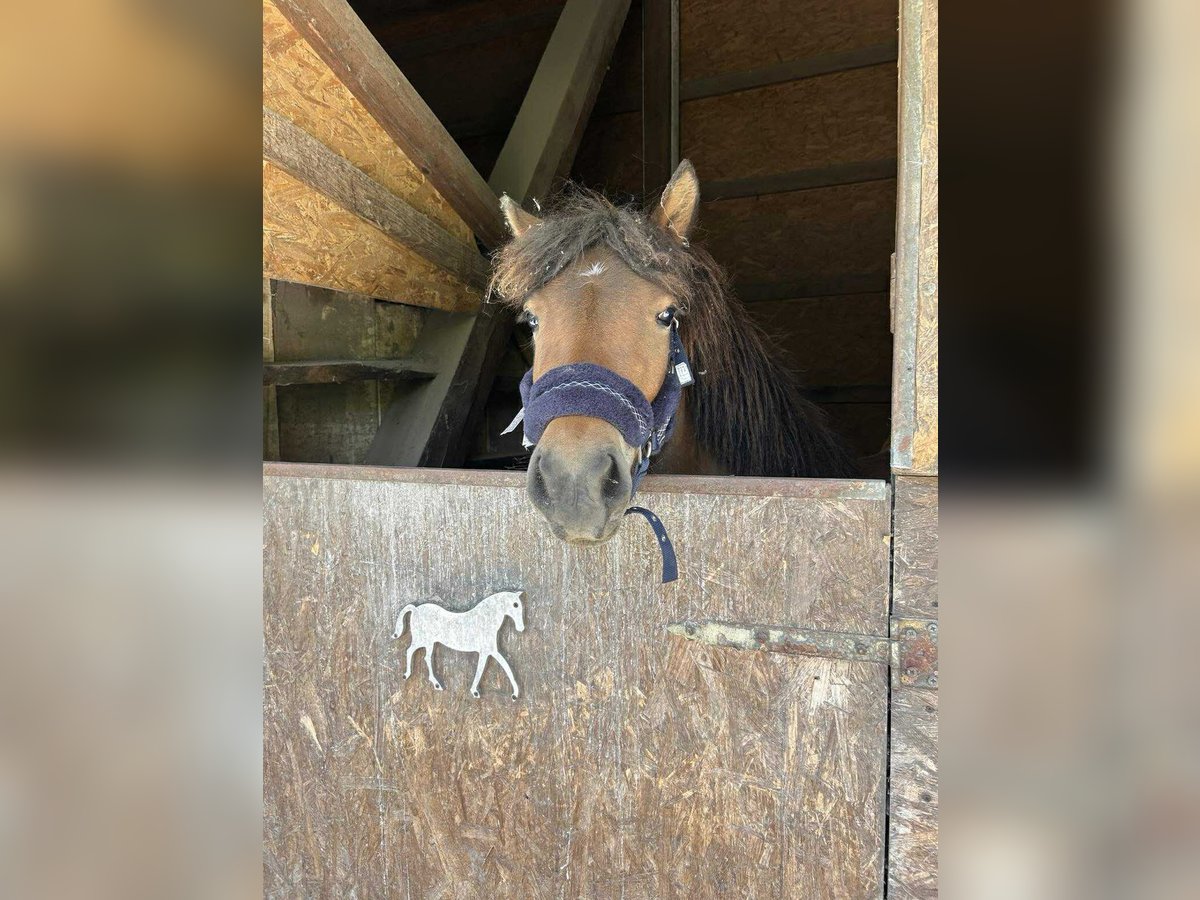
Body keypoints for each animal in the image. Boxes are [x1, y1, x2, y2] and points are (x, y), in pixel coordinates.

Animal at [392, 590, 525, 700]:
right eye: (515, 605)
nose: (521, 628)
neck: (484, 620)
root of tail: (415, 609)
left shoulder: (491, 651)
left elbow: (505, 667)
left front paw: (514, 694)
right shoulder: (486, 652)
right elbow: (484, 669)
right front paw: (475, 692)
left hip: (429, 643)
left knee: (426, 657)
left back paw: (436, 684)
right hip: (422, 640)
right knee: (410, 651)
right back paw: (407, 675)